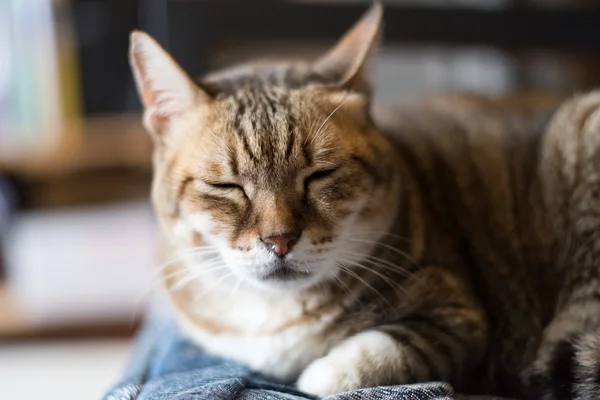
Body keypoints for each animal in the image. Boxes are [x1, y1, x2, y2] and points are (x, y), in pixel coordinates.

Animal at [129, 3, 600, 400]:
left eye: (320, 174)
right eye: (226, 186)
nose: (280, 241)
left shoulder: (458, 315)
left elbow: (364, 359)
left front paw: (315, 375)